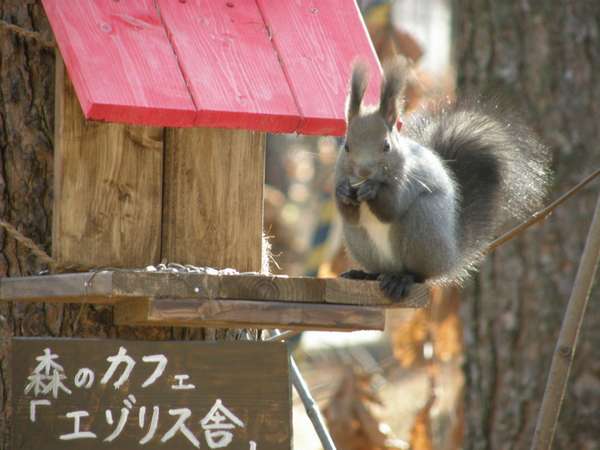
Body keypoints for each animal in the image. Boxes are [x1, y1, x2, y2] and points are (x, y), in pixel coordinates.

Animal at [336, 58, 552, 300]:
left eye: (386, 146)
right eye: (346, 146)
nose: (364, 172)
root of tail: (451, 256)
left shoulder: (410, 178)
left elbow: (391, 207)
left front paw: (372, 190)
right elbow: (349, 214)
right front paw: (343, 192)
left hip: (423, 226)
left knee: (419, 275)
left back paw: (402, 279)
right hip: (360, 242)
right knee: (377, 267)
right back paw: (364, 274)